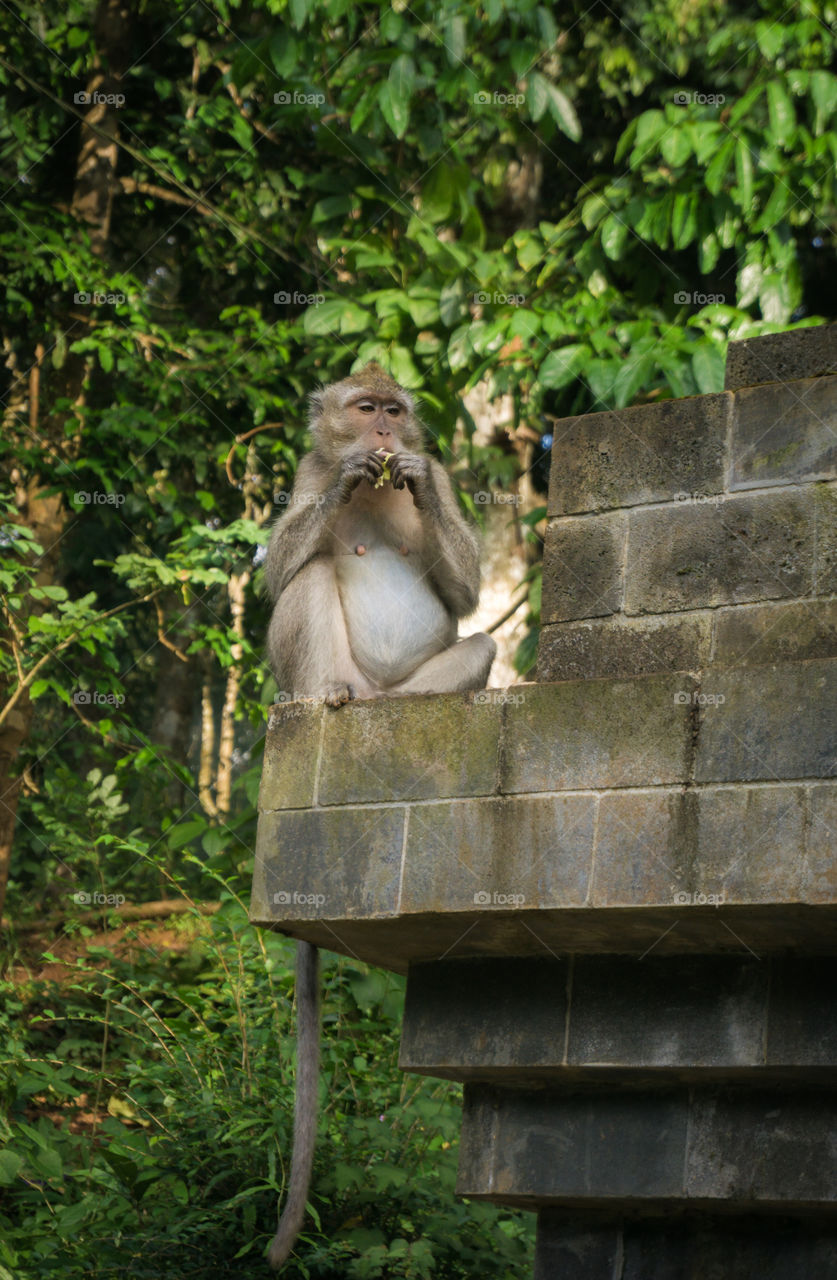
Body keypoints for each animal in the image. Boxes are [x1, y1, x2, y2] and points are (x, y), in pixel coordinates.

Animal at [263, 363, 496, 1268]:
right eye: (364, 409)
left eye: (395, 409)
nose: (386, 435)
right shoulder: (307, 474)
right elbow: (278, 574)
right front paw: (346, 489)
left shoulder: (449, 489)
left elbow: (464, 591)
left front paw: (416, 478)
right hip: (328, 680)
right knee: (305, 581)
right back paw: (320, 698)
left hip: (409, 694)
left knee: (478, 648)